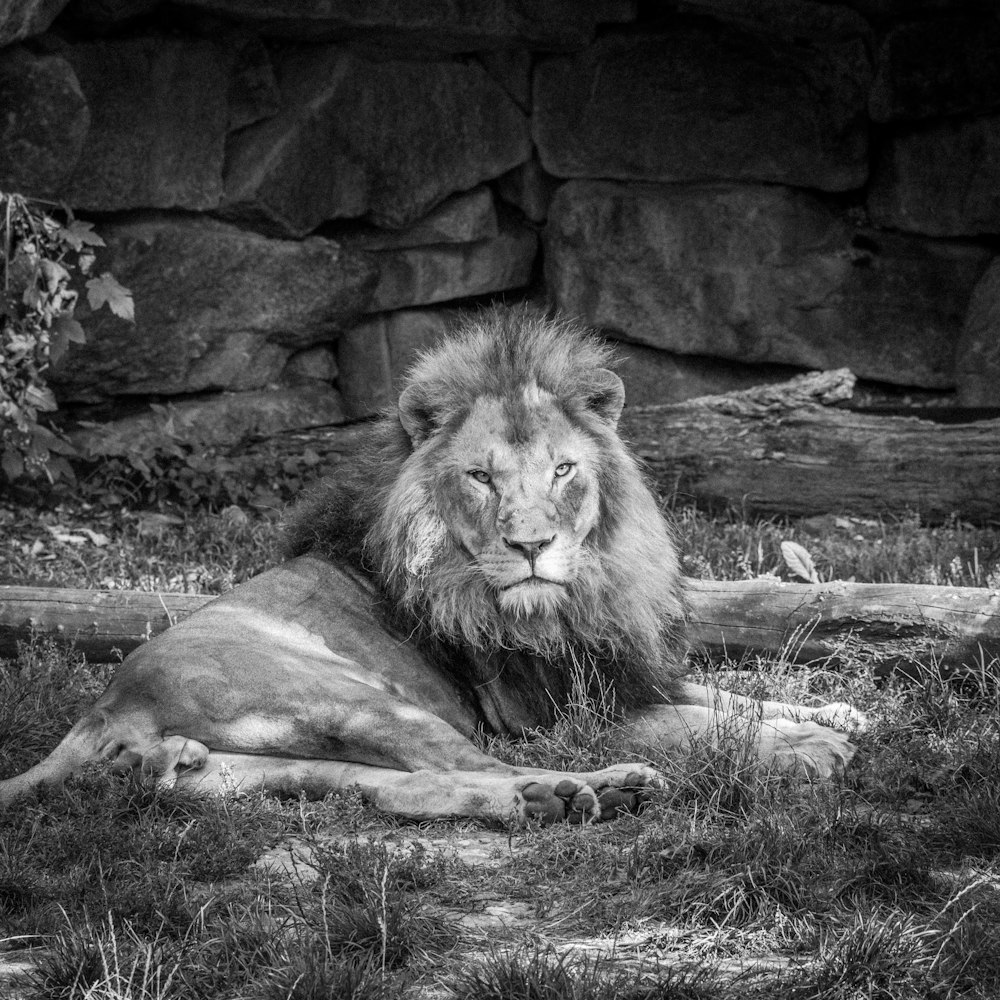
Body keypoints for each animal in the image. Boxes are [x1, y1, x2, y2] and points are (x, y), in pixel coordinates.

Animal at [0, 308, 860, 824]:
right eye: (480, 477)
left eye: (563, 470)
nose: (531, 546)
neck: (581, 592)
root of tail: (103, 706)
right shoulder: (563, 712)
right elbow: (697, 726)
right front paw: (806, 748)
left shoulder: (619, 667)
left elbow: (728, 698)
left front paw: (836, 715)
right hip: (358, 699)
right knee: (479, 768)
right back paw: (585, 788)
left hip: (274, 765)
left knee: (419, 789)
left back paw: (569, 796)